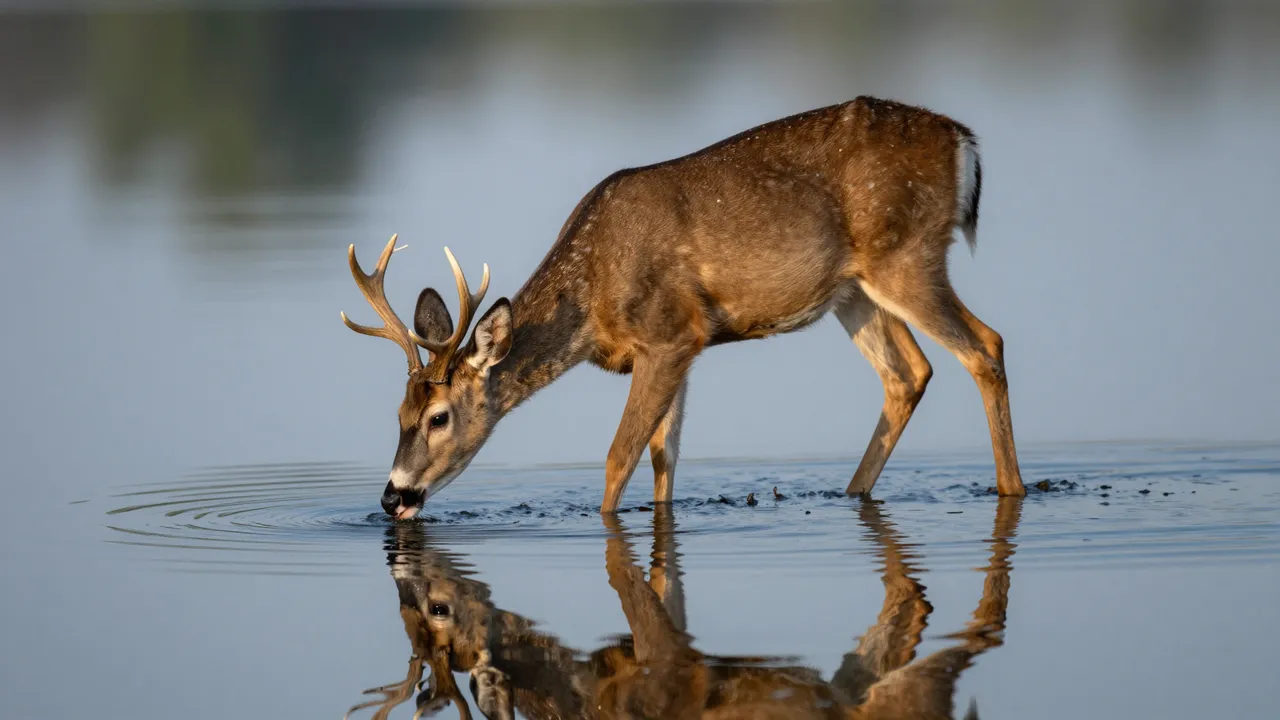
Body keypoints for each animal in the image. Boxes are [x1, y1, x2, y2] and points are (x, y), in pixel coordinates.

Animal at [340, 95, 1026, 518]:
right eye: (397, 413)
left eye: (439, 418)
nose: (392, 497)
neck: (590, 300)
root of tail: (964, 143)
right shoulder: (680, 347)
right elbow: (663, 458)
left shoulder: (670, 334)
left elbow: (619, 456)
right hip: (855, 292)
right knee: (910, 373)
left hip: (906, 256)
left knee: (985, 345)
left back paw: (1012, 490)